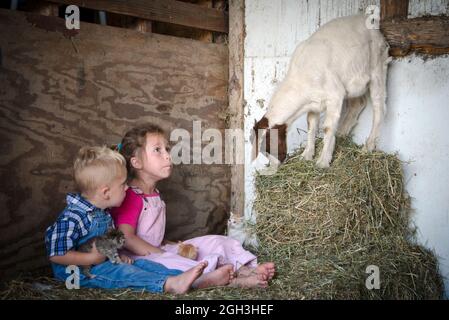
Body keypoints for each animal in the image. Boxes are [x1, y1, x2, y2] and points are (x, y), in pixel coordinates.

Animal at [254, 14, 390, 168]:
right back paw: (342, 133)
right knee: (359, 103)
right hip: (353, 81)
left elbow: (327, 127)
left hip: (378, 69)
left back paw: (368, 146)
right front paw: (306, 155)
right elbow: (311, 126)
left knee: (379, 108)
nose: (275, 165)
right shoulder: (313, 104)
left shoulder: (335, 95)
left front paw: (323, 161)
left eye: (268, 145)